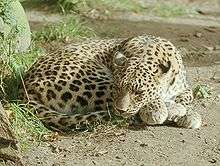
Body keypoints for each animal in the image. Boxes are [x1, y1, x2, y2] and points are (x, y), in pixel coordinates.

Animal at [18, 34, 201, 132]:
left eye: (139, 92)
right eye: (118, 87)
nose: (121, 109)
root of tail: (24, 84)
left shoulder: (184, 88)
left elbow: (187, 97)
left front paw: (188, 113)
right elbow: (157, 100)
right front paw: (161, 111)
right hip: (94, 81)